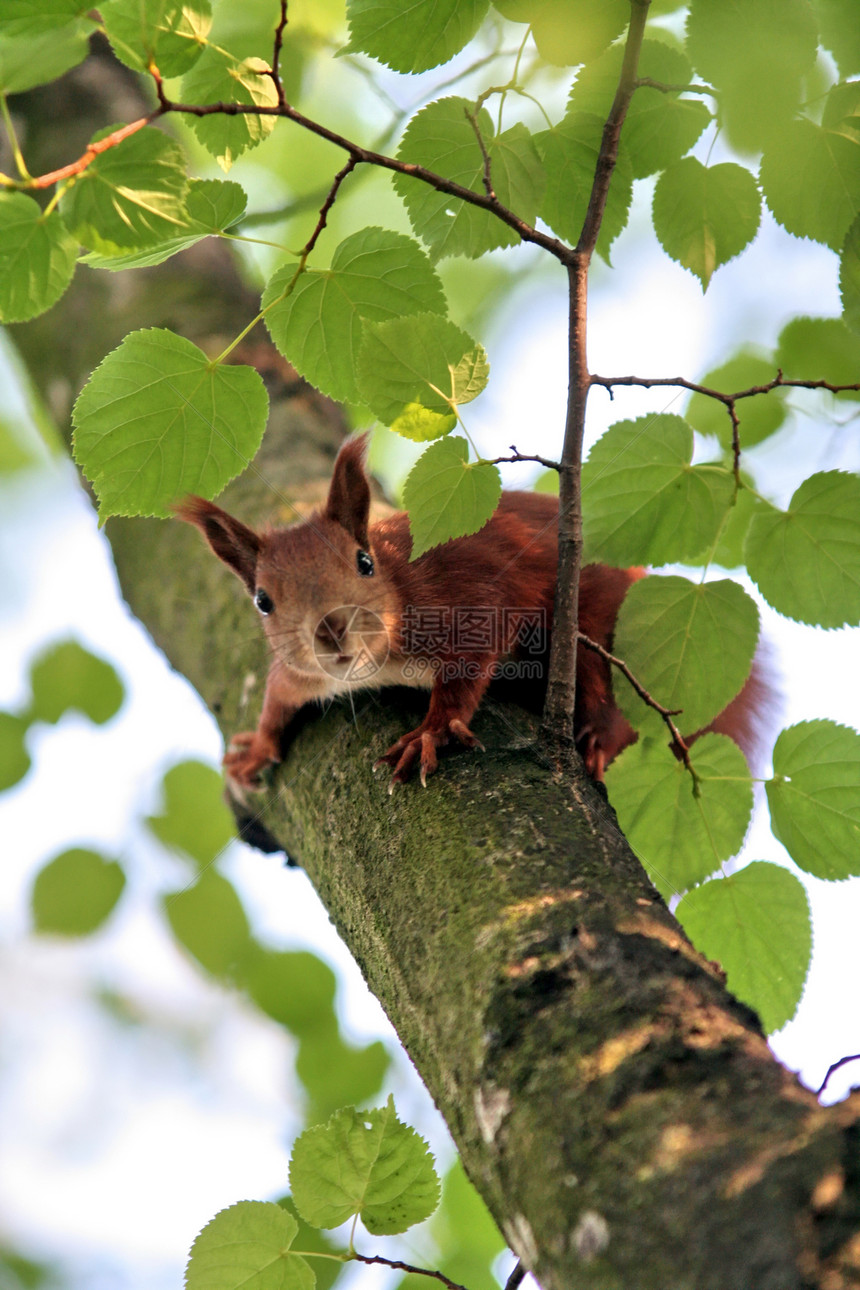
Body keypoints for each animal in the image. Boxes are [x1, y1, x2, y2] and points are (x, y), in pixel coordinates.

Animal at [176, 433, 768, 784]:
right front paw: (257, 748)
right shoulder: (303, 674)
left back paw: (597, 737)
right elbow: (278, 694)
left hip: (597, 620)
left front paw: (431, 730)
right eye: (262, 600)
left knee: (607, 691)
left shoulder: (462, 597)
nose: (331, 629)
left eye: (365, 563)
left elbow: (468, 664)